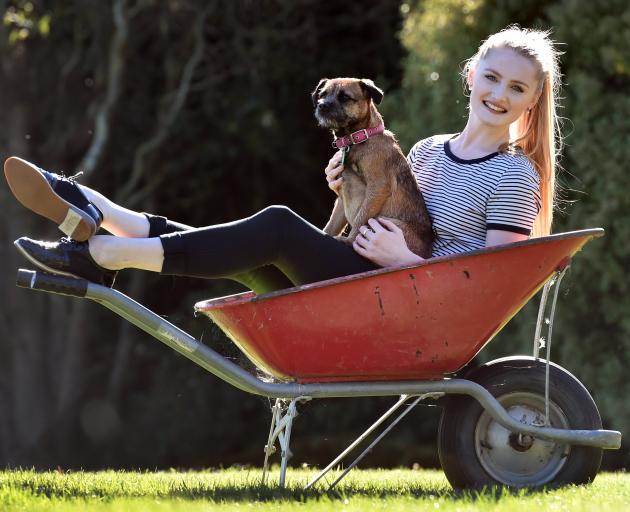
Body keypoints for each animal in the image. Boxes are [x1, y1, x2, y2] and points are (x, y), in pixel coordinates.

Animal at [312, 77, 434, 256]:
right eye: (322, 95)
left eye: (344, 97)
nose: (322, 105)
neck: (358, 140)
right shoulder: (341, 199)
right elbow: (331, 225)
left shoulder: (377, 187)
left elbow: (360, 219)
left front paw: (349, 241)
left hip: (383, 220)